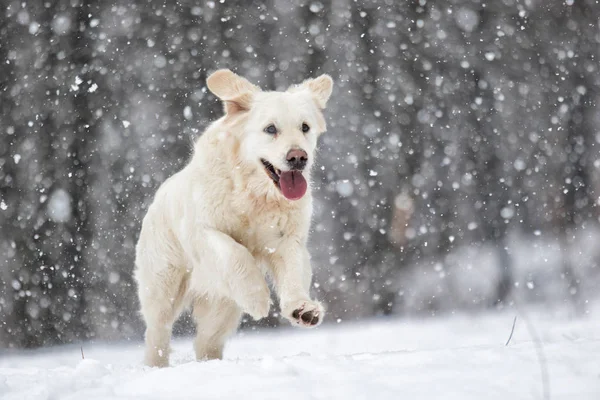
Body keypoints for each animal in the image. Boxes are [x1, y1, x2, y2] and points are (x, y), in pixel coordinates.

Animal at [134, 68, 332, 366]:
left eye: (305, 127)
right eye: (270, 129)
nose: (298, 157)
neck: (254, 194)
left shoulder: (287, 238)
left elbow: (294, 271)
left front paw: (302, 308)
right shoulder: (203, 231)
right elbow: (235, 251)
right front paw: (258, 297)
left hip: (222, 305)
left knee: (206, 341)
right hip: (162, 284)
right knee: (157, 331)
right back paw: (155, 365)